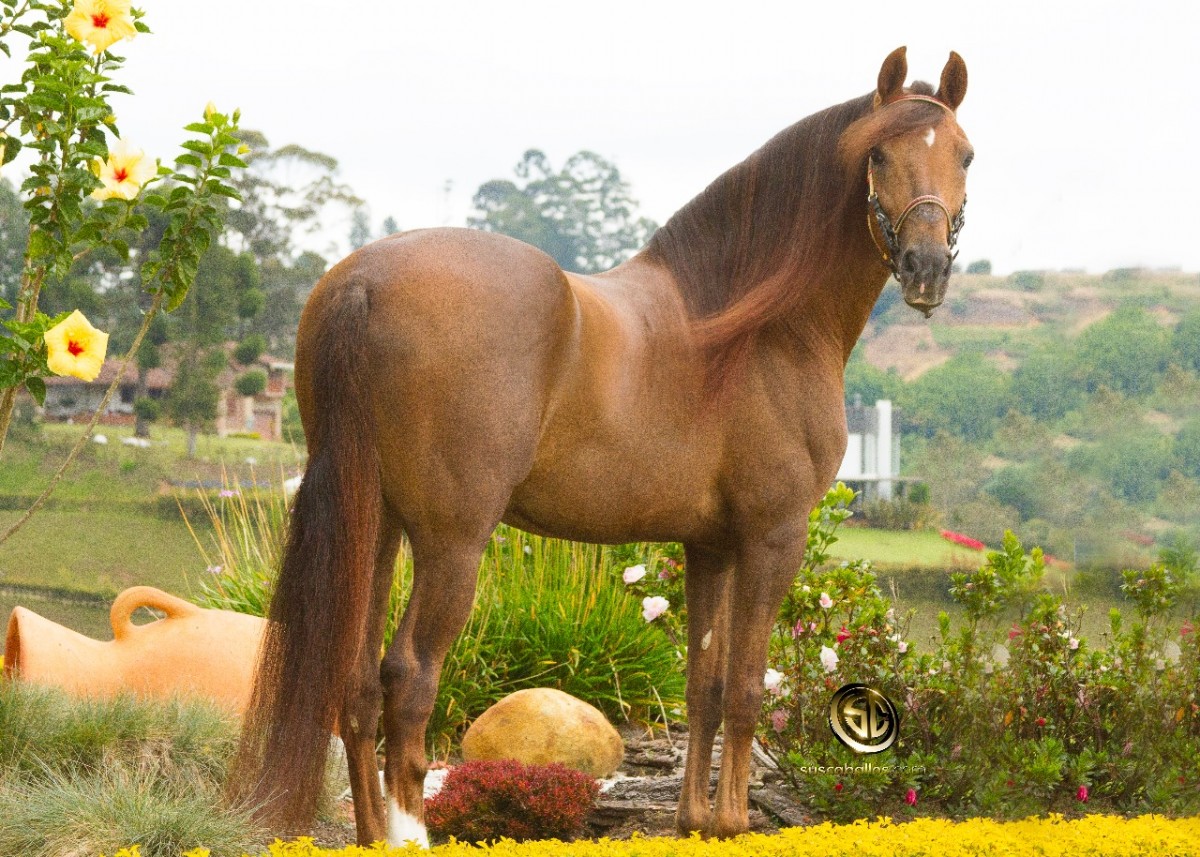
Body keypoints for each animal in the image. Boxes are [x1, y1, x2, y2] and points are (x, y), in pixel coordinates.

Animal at [233, 45, 972, 847]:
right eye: (878, 154)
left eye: (965, 154)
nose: (927, 268)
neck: (752, 327)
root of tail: (364, 281)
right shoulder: (774, 536)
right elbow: (746, 688)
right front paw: (733, 823)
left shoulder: (709, 545)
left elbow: (704, 685)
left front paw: (693, 822)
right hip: (451, 542)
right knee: (408, 677)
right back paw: (410, 832)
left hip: (375, 528)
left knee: (358, 680)